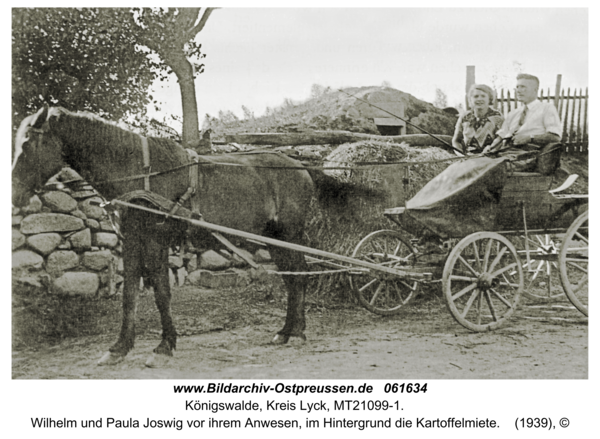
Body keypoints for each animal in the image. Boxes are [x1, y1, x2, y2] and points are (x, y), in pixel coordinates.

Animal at [10, 106, 370, 368]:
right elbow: (131, 295)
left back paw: (295, 332)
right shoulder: (133, 241)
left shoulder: (154, 240)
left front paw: (164, 345)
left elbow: (161, 292)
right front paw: (120, 348)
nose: (13, 195)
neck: (139, 171)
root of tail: (299, 166)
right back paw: (287, 331)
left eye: (27, 144)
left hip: (289, 233)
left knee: (298, 277)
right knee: (293, 278)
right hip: (273, 238)